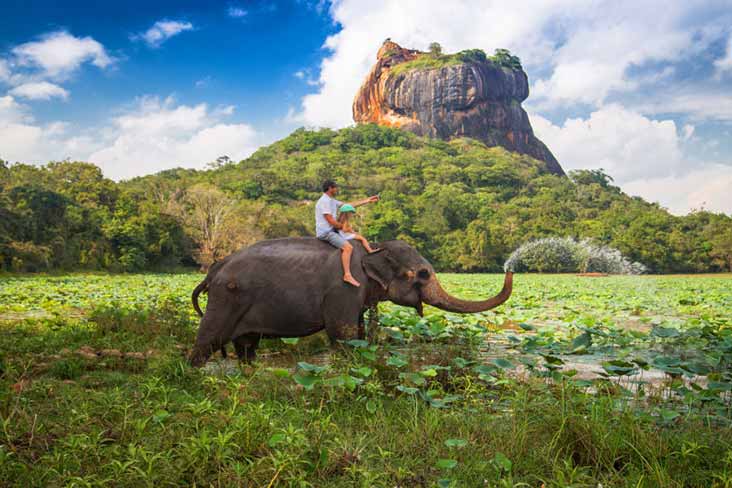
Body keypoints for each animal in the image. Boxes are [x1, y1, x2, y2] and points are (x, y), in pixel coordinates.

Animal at [189, 236, 512, 366]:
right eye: (422, 274)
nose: (509, 267)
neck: (373, 248)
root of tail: (214, 270)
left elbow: (357, 332)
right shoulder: (343, 289)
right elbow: (342, 334)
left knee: (247, 347)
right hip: (225, 299)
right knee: (207, 341)